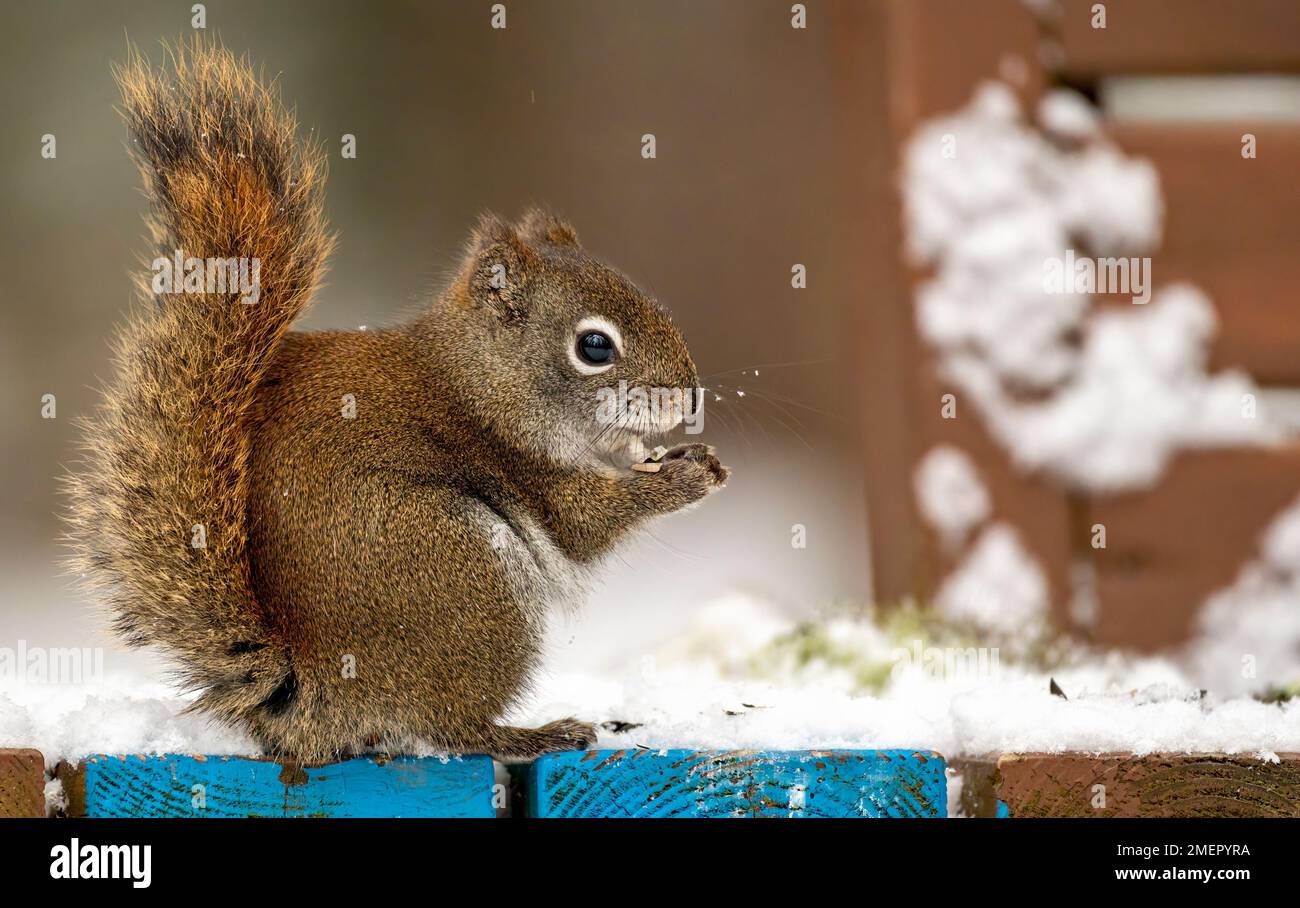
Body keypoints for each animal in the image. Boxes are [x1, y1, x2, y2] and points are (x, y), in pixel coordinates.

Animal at [65, 42, 733, 764]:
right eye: (594, 346)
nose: (685, 399)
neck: (481, 381)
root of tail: (313, 683)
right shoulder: (526, 468)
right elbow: (586, 523)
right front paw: (683, 478)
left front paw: (692, 456)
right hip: (464, 572)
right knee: (453, 725)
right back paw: (533, 733)